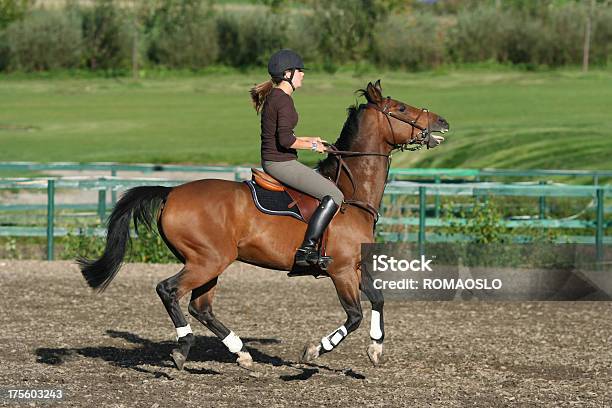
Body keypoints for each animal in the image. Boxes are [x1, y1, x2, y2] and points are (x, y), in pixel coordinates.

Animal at [77, 79, 450, 370]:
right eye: (400, 108)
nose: (443, 122)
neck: (351, 194)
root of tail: (171, 191)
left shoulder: (356, 265)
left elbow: (378, 298)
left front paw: (376, 348)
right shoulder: (341, 270)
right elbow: (354, 315)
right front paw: (315, 350)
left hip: (209, 263)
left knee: (200, 307)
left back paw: (241, 353)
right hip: (208, 261)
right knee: (169, 291)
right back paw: (183, 349)